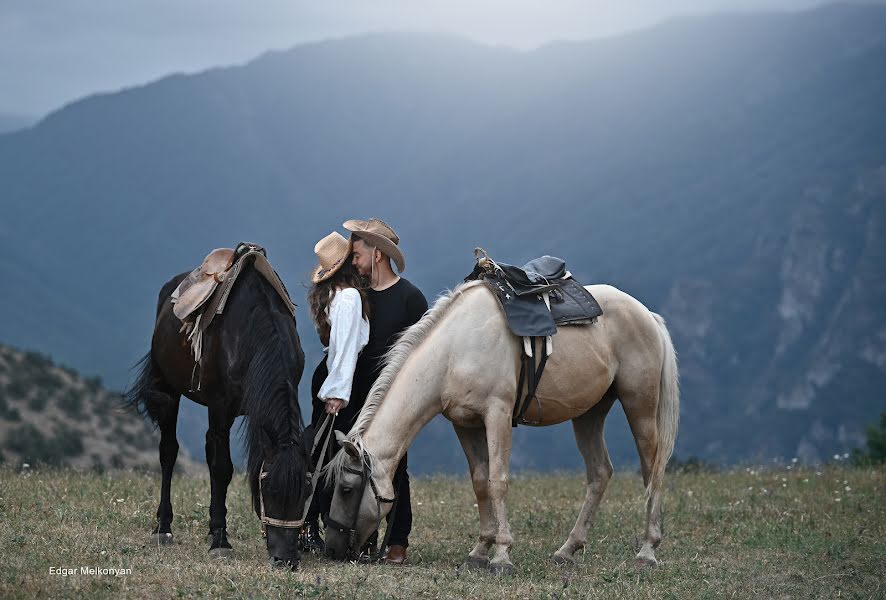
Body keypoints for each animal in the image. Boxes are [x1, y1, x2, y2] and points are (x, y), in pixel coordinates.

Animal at [126, 262, 310, 568]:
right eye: (269, 490)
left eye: (306, 493)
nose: (285, 559)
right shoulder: (220, 407)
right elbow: (222, 469)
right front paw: (221, 542)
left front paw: (217, 531)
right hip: (169, 391)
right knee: (169, 452)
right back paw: (163, 528)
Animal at [326, 282, 680, 572]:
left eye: (346, 489)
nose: (332, 548)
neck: (454, 350)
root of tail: (647, 315)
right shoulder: (464, 424)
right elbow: (480, 482)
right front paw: (479, 552)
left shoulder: (497, 414)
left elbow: (498, 482)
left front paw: (501, 556)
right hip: (589, 414)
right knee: (600, 473)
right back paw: (568, 549)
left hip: (640, 405)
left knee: (652, 471)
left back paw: (647, 551)